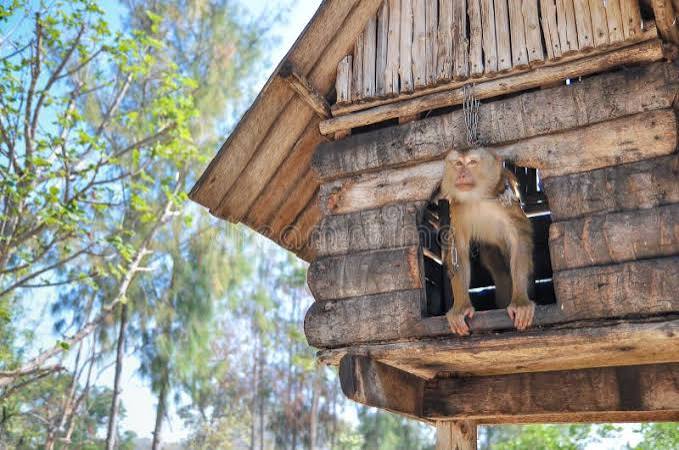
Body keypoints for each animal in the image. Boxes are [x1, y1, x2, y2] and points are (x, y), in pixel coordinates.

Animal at [440, 147, 535, 336]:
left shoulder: (505, 203)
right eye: (458, 164)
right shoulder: (458, 207)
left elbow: (519, 239)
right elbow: (458, 250)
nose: (462, 174)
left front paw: (520, 303)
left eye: (472, 163)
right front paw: (461, 308)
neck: (477, 197)